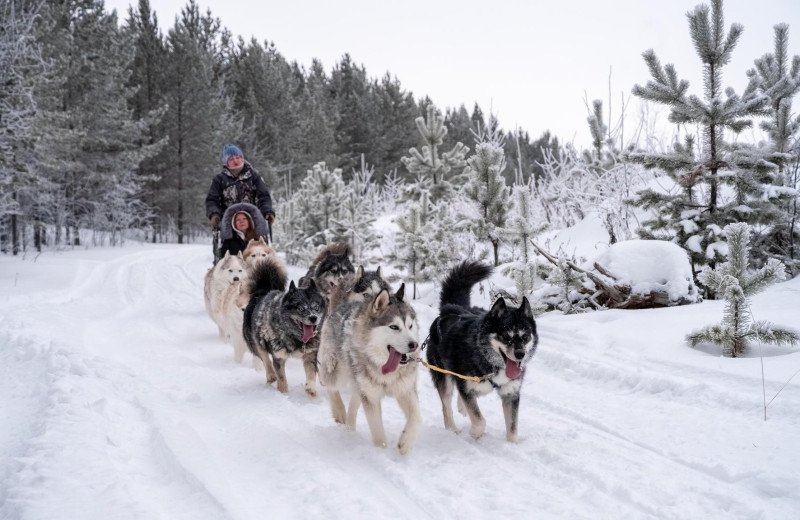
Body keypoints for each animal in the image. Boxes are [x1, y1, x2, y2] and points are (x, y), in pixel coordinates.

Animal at [242, 258, 326, 396]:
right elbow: (281, 376)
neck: (295, 338)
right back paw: (271, 375)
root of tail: (263, 292)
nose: (313, 318)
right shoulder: (279, 356)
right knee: (264, 356)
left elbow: (311, 373)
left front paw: (311, 389)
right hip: (256, 340)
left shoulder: (309, 354)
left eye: (316, 307)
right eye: (301, 308)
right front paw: (283, 393)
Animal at [316, 282, 422, 452]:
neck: (383, 366)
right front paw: (381, 451)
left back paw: (350, 428)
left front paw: (405, 443)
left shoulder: (405, 390)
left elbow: (417, 418)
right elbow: (377, 431)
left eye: (410, 326)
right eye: (394, 327)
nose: (414, 345)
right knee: (329, 385)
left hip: (359, 384)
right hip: (336, 371)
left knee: (354, 401)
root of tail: (344, 305)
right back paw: (339, 410)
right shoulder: (371, 397)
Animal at [424, 260, 536, 442]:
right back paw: (452, 429)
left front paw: (512, 444)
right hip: (443, 376)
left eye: (525, 336)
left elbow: (512, 427)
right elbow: (479, 419)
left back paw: (461, 408)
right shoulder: (467, 387)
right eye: (505, 336)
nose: (520, 354)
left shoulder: (511, 393)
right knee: (446, 406)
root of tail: (452, 308)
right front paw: (475, 433)